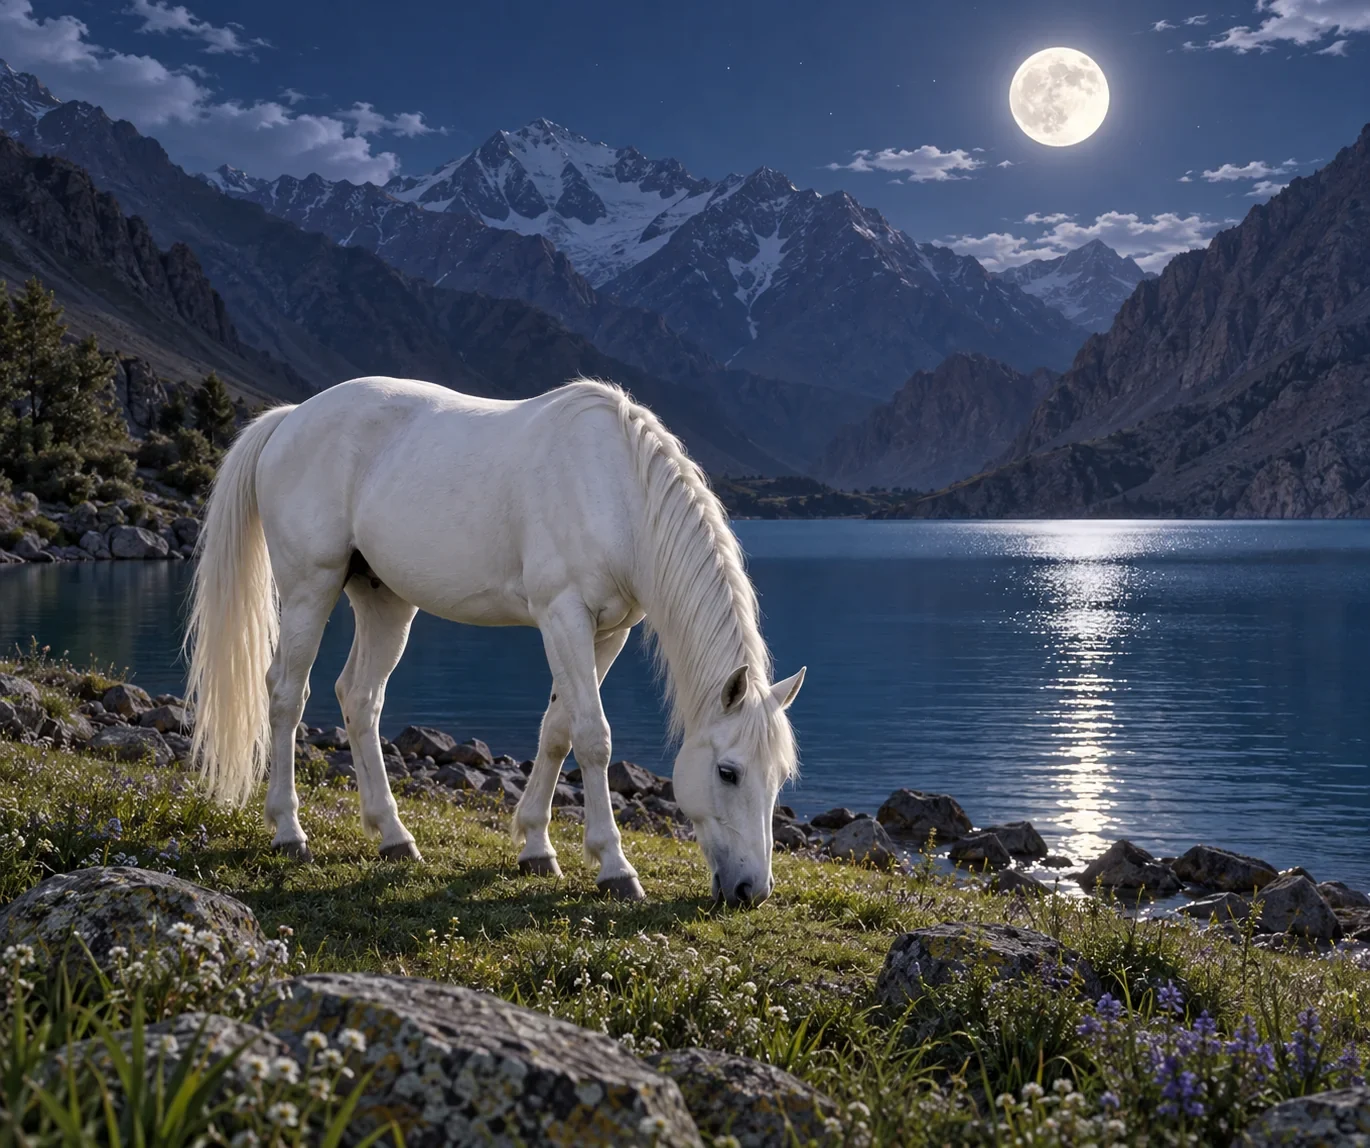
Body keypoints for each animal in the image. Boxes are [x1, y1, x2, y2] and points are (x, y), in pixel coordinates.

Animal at [184, 376, 805, 905]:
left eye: (778, 777)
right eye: (728, 772)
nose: (751, 891)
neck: (617, 491)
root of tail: (291, 419)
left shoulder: (609, 632)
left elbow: (557, 731)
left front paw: (536, 848)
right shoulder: (563, 616)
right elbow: (593, 737)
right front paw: (614, 866)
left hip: (384, 600)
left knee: (359, 698)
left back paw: (393, 835)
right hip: (310, 586)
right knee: (287, 695)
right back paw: (289, 831)